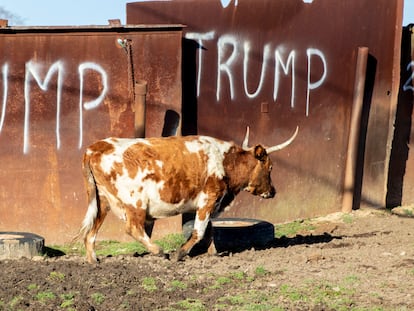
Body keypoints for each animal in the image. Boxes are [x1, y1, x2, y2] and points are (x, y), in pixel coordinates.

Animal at [76, 127, 298, 264]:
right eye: (270, 167)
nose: (273, 191)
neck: (226, 161)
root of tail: (94, 148)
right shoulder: (209, 199)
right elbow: (199, 232)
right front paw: (180, 253)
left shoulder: (207, 204)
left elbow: (209, 231)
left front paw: (213, 253)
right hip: (135, 202)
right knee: (133, 228)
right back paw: (159, 251)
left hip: (102, 201)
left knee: (91, 232)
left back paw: (92, 259)